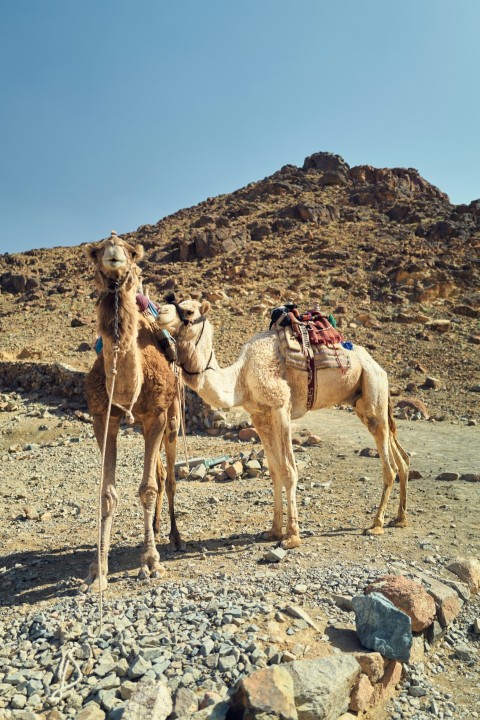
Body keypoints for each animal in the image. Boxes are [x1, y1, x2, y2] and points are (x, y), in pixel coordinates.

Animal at [80, 231, 182, 592]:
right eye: (95, 251)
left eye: (133, 252)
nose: (113, 253)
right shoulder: (103, 419)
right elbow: (106, 494)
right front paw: (97, 571)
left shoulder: (157, 416)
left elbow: (148, 488)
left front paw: (150, 563)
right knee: (162, 474)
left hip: (173, 418)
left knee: (169, 476)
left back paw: (175, 538)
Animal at [156, 296, 410, 548]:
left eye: (189, 311)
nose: (160, 312)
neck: (240, 378)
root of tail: (378, 367)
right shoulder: (259, 415)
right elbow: (274, 470)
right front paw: (274, 531)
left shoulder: (281, 408)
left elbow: (289, 470)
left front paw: (292, 536)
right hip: (363, 401)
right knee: (401, 456)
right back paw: (399, 518)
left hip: (373, 391)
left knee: (389, 464)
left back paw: (376, 524)